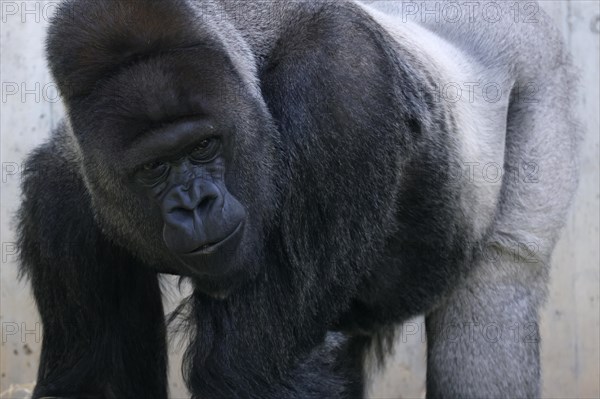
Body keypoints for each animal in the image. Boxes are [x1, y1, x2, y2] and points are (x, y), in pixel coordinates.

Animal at [17, 0, 580, 399]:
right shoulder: (64, 191)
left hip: (540, 65)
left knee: (498, 291)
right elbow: (98, 384)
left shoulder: (339, 80)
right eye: (154, 167)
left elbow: (252, 371)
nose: (195, 204)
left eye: (203, 146)